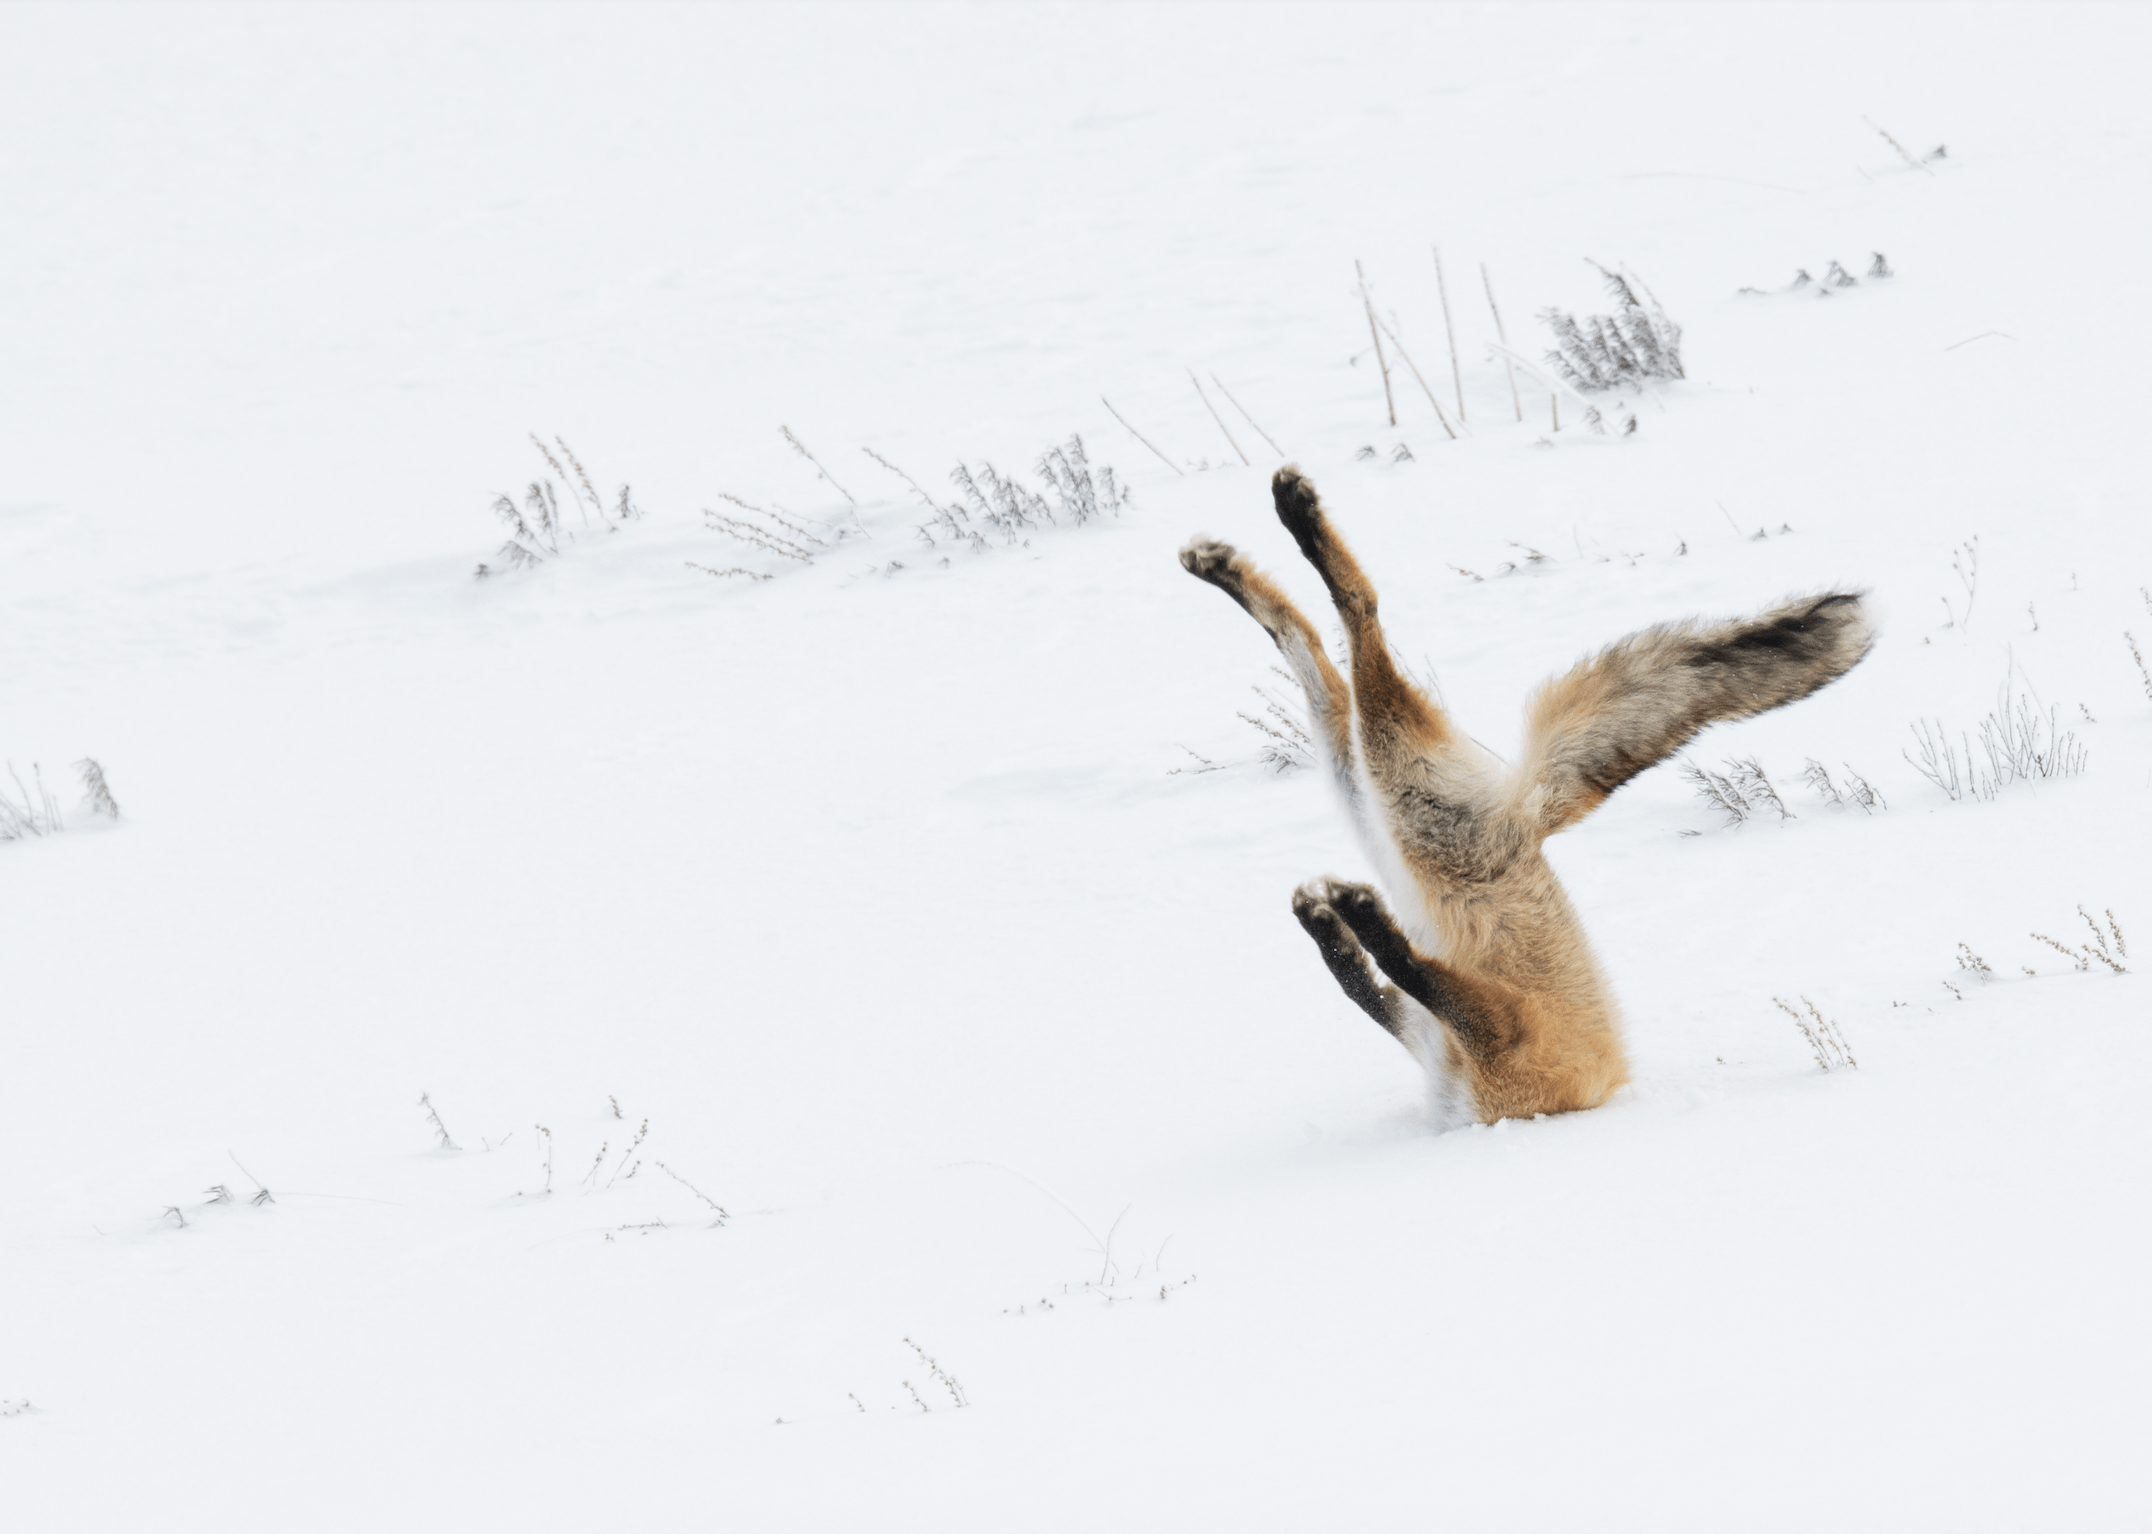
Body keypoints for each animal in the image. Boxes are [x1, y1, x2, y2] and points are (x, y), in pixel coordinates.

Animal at [1180, 466, 1874, 1128]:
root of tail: (1530, 816)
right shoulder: (1434, 1034)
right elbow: (1365, 984)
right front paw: (1331, 925)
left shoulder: (1500, 1038)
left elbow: (1399, 970)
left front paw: (1351, 918)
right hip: (1371, 791)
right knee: (1311, 646)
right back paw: (1226, 563)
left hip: (1397, 792)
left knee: (1360, 615)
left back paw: (1294, 518)